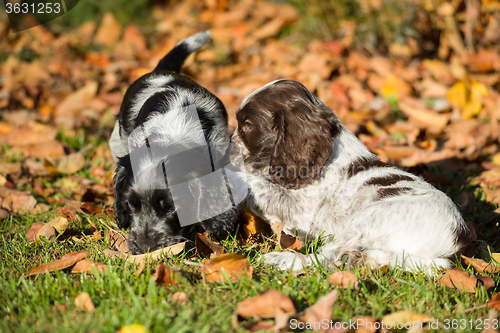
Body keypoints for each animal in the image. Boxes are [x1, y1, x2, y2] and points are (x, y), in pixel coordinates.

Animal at [231, 78, 472, 272]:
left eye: (247, 126)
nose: (227, 149)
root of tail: (455, 245)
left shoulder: (300, 211)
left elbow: (257, 185)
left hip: (370, 220)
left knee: (328, 258)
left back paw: (281, 260)